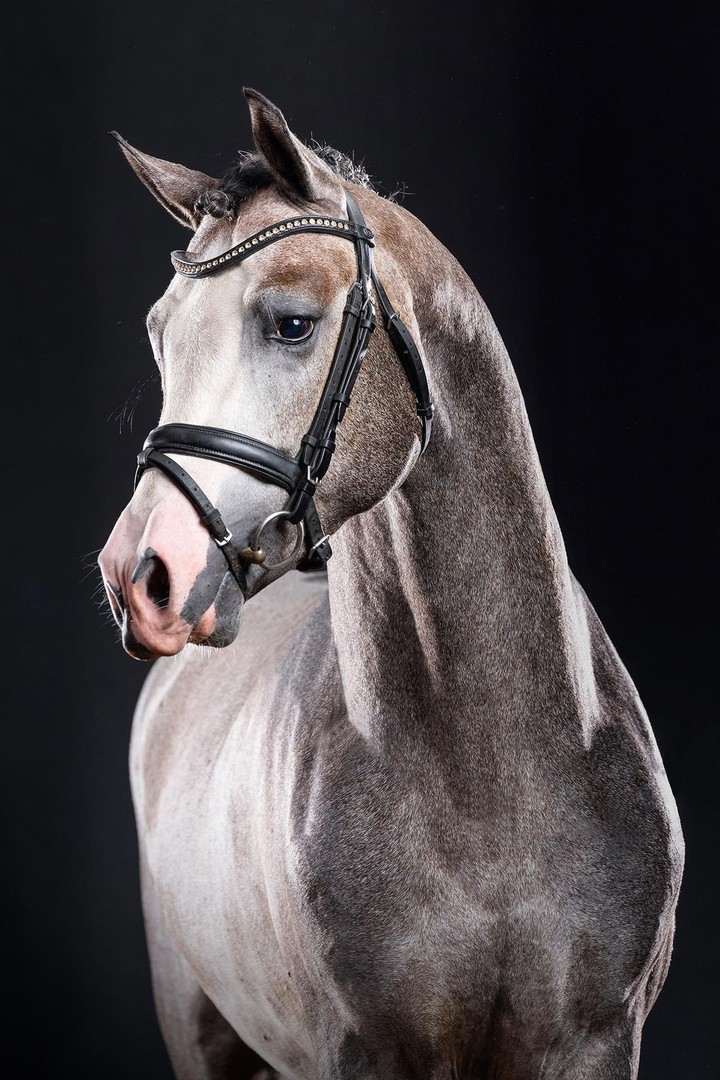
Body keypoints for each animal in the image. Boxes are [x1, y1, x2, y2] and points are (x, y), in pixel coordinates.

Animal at [99, 89, 684, 1079]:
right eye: (159, 333)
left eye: (292, 322)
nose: (140, 574)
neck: (493, 777)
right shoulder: (364, 1052)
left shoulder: (599, 1043)